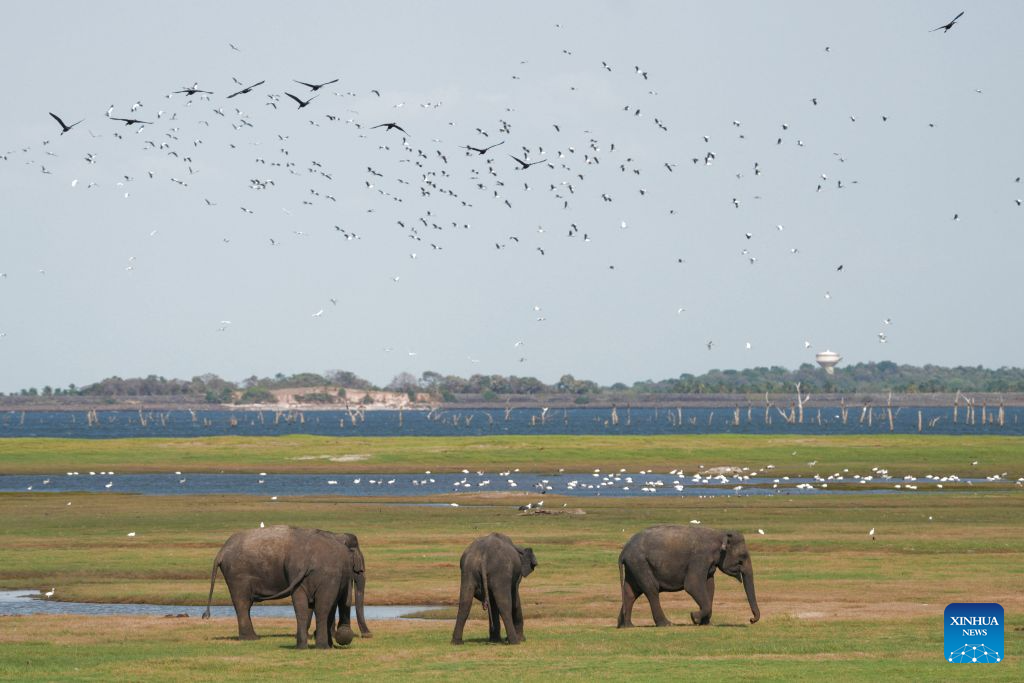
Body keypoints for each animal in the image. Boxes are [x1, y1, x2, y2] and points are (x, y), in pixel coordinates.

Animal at [201, 525, 369, 649]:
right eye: (357, 562)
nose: (368, 635)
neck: (334, 534)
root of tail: (221, 552)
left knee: (244, 604)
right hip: (238, 573)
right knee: (243, 603)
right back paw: (252, 638)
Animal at [617, 524, 760, 628]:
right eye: (741, 559)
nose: (751, 619)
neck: (719, 534)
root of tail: (624, 551)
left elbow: (710, 586)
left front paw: (705, 623)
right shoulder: (700, 557)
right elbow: (693, 585)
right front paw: (694, 617)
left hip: (634, 566)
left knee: (630, 593)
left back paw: (626, 626)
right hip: (640, 564)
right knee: (651, 589)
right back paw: (666, 624)